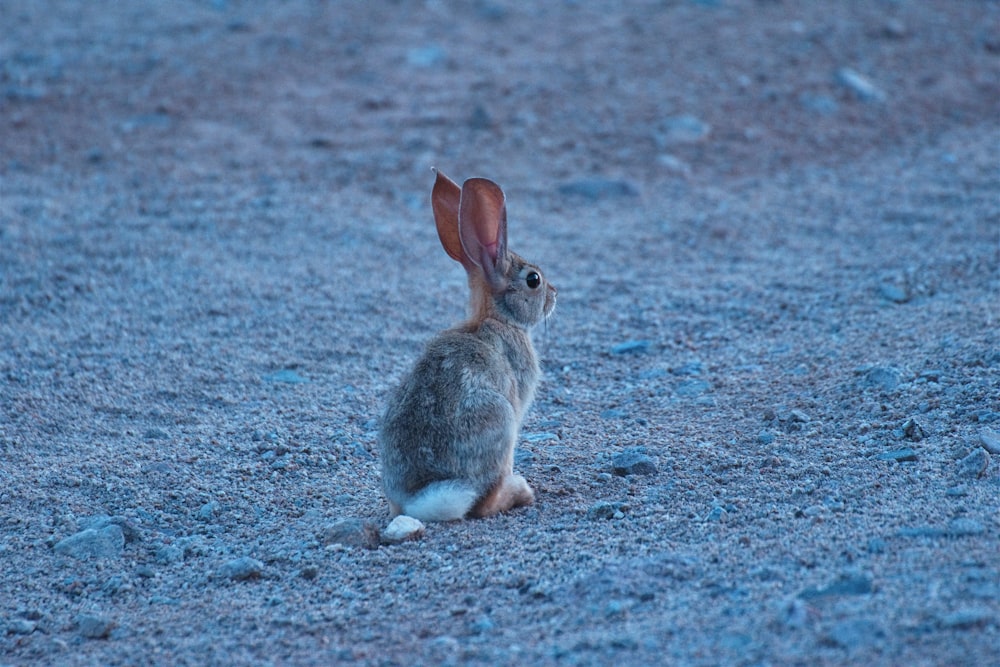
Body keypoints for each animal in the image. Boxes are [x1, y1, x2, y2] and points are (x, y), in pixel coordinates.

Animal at [378, 171, 560, 520]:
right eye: (533, 280)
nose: (555, 294)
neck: (496, 318)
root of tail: (417, 501)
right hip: (500, 422)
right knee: (483, 502)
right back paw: (521, 492)